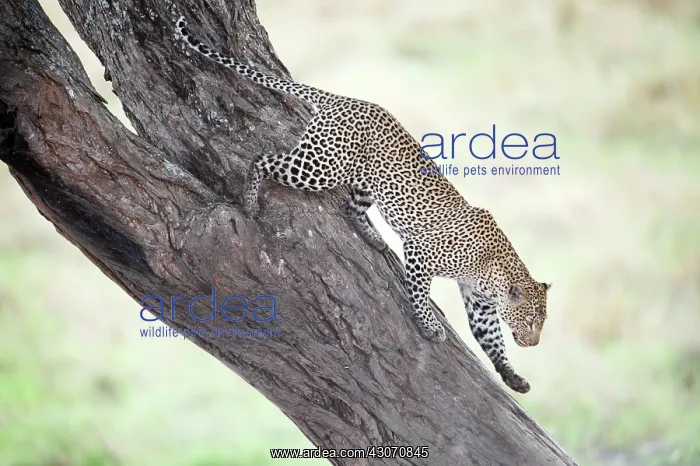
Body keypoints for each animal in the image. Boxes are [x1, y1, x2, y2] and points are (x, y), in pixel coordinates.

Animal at [175, 16, 552, 393]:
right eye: (532, 321)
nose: (534, 343)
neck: (493, 274)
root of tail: (346, 99)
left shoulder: (480, 303)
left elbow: (492, 341)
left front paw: (513, 377)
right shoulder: (421, 255)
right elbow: (420, 296)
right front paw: (429, 327)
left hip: (368, 180)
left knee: (350, 207)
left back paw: (373, 238)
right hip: (321, 167)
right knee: (262, 159)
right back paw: (251, 202)